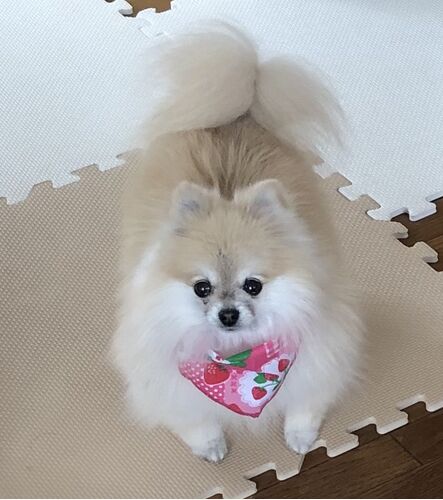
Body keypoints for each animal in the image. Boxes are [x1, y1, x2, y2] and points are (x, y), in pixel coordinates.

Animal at [113, 22, 362, 462]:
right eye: (202, 288)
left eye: (253, 285)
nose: (228, 314)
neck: (236, 357)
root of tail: (238, 113)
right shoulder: (164, 377)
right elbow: (193, 418)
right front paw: (210, 444)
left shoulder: (322, 350)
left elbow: (307, 400)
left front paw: (300, 436)